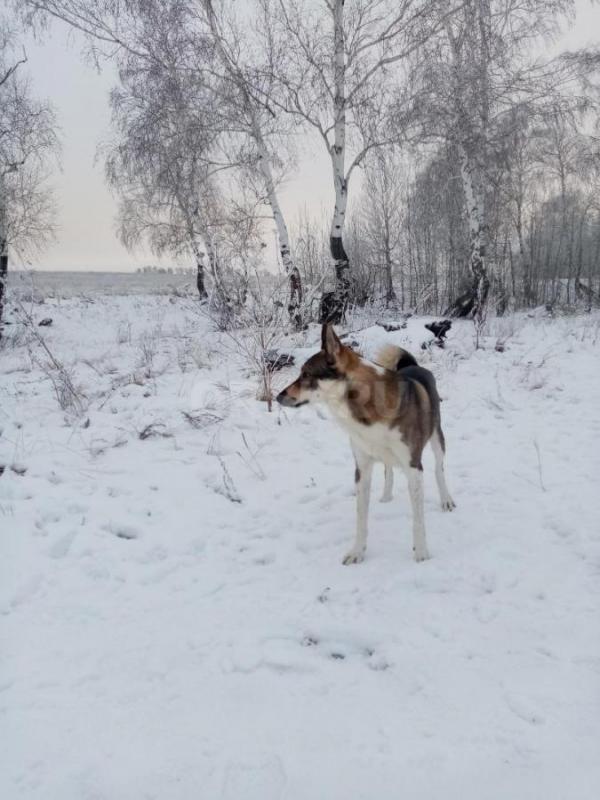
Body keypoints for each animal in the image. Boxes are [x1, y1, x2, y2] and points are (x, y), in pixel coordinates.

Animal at [276, 324, 454, 564]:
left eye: (306, 374)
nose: (278, 397)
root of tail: (415, 366)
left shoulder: (414, 468)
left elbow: (418, 520)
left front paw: (422, 553)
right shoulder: (362, 468)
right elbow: (361, 518)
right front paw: (358, 552)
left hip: (437, 439)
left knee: (439, 469)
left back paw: (446, 500)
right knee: (388, 469)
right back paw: (386, 496)